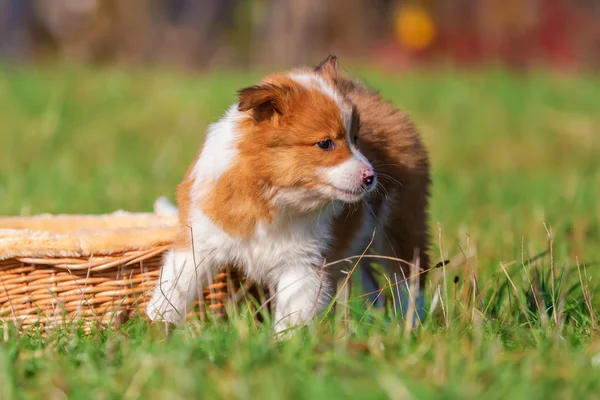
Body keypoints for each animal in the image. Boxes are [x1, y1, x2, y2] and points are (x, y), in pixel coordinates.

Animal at [150, 54, 432, 332]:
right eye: (325, 143)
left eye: (356, 138)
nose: (371, 177)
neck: (270, 195)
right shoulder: (199, 241)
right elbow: (174, 288)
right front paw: (156, 326)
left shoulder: (303, 265)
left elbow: (291, 318)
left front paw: (285, 343)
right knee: (371, 284)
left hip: (398, 227)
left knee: (409, 282)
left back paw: (409, 327)